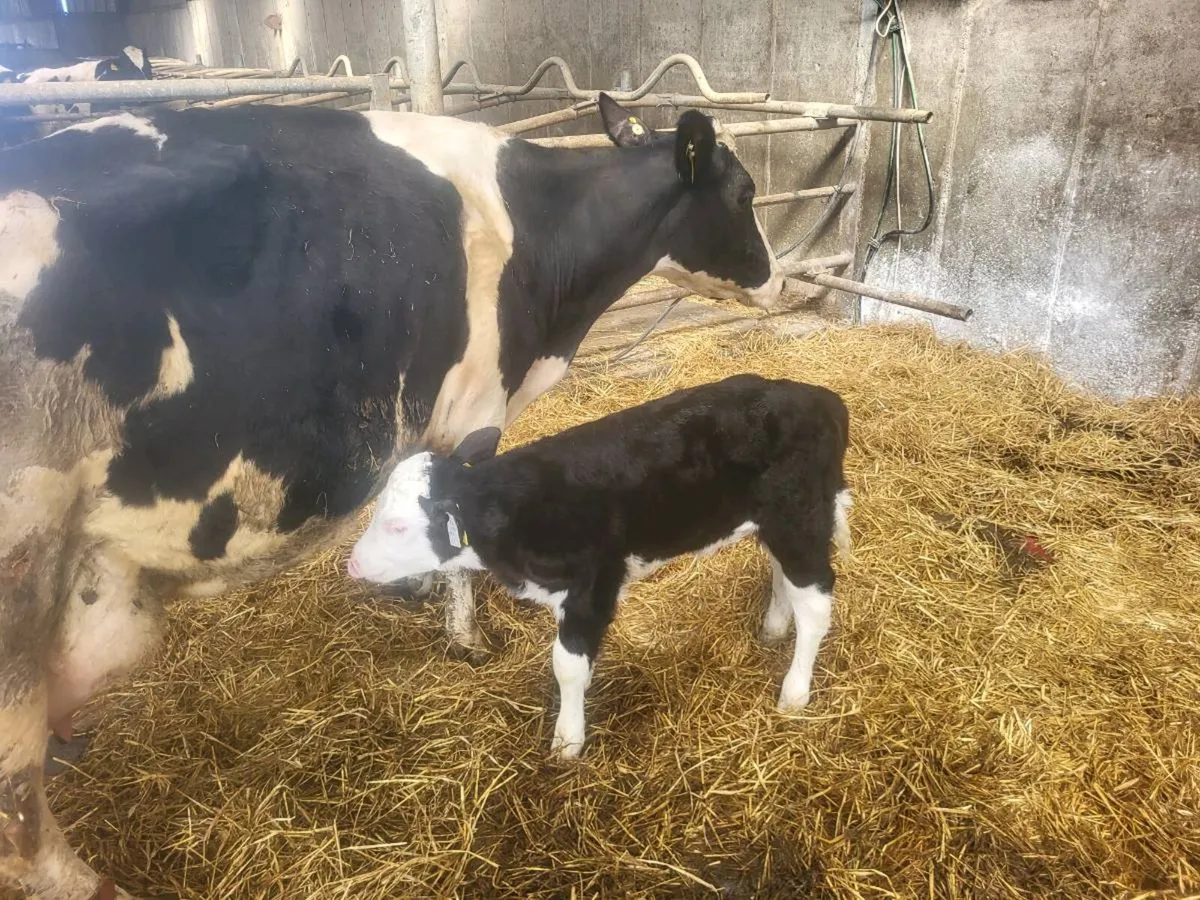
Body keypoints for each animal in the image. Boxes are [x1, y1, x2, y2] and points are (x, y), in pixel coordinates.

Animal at [0, 93, 783, 897]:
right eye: (745, 192)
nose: (777, 278)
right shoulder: (476, 411)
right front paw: (467, 639)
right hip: (21, 570)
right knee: (18, 808)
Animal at [347, 374, 852, 759]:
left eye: (396, 526)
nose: (353, 563)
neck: (517, 514)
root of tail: (817, 396)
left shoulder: (592, 587)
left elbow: (568, 666)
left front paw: (567, 741)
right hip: (778, 523)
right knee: (784, 576)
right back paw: (773, 628)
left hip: (799, 517)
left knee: (815, 602)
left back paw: (794, 692)